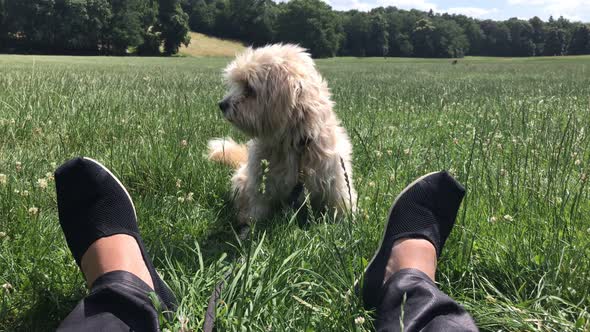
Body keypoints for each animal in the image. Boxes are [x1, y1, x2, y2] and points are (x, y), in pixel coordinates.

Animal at [206, 44, 358, 224]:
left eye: (249, 88)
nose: (222, 104)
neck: (292, 142)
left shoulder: (335, 177)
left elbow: (340, 202)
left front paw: (347, 222)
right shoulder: (260, 181)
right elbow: (256, 207)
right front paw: (249, 227)